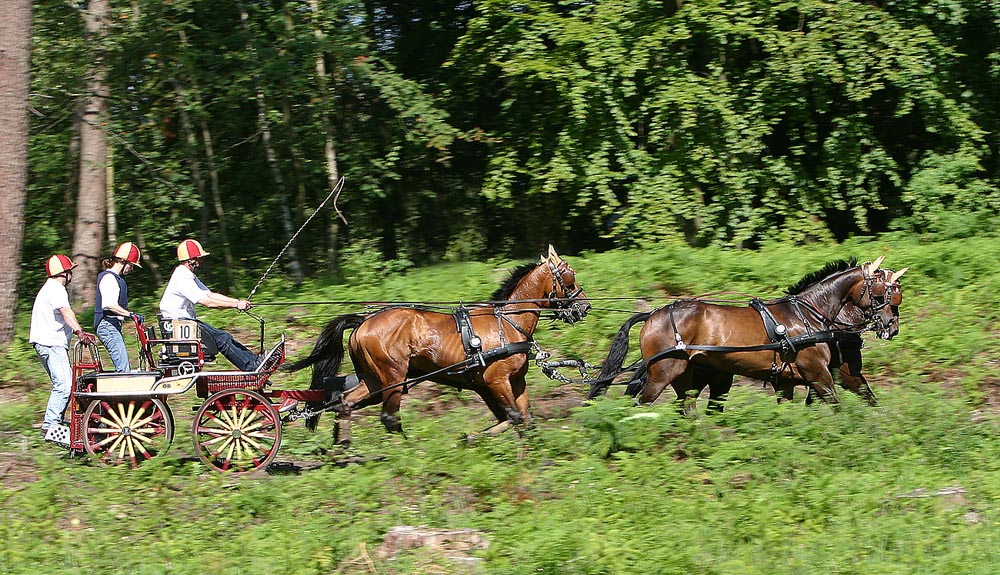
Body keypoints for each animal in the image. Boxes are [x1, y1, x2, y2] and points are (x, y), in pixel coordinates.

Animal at [286, 245, 588, 434]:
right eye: (569, 278)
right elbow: (512, 417)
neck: (506, 323)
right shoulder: (496, 381)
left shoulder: (512, 381)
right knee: (389, 417)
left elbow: (525, 418)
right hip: (393, 378)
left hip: (373, 380)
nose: (584, 306)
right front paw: (475, 439)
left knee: (345, 403)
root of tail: (363, 322)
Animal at [588, 256, 904, 410]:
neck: (811, 315)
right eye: (881, 293)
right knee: (639, 403)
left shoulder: (790, 381)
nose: (892, 327)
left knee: (686, 406)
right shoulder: (818, 373)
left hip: (685, 375)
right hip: (663, 372)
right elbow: (839, 405)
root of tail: (654, 313)